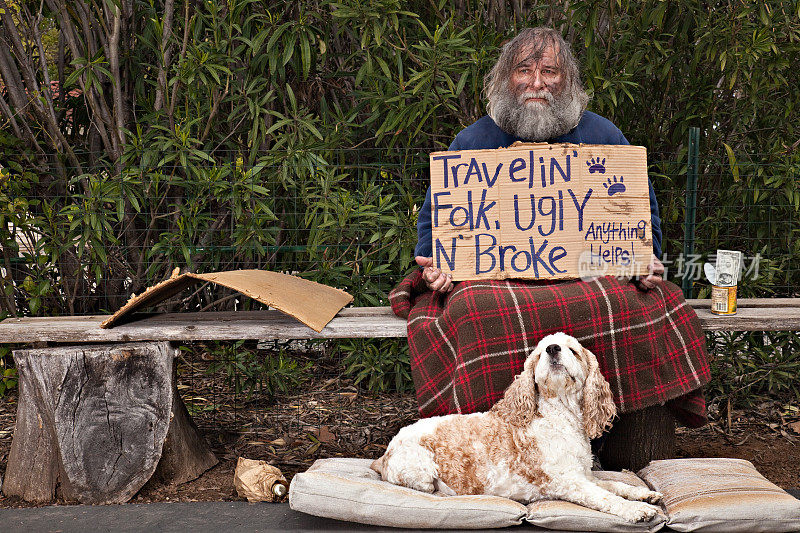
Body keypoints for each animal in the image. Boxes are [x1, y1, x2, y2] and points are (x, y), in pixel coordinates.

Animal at [372, 330, 664, 520]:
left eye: (573, 350)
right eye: (540, 352)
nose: (553, 349)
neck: (560, 415)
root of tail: (384, 454)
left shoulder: (584, 476)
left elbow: (615, 485)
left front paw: (643, 494)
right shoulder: (568, 482)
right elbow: (606, 497)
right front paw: (637, 510)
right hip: (420, 474)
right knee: (429, 488)